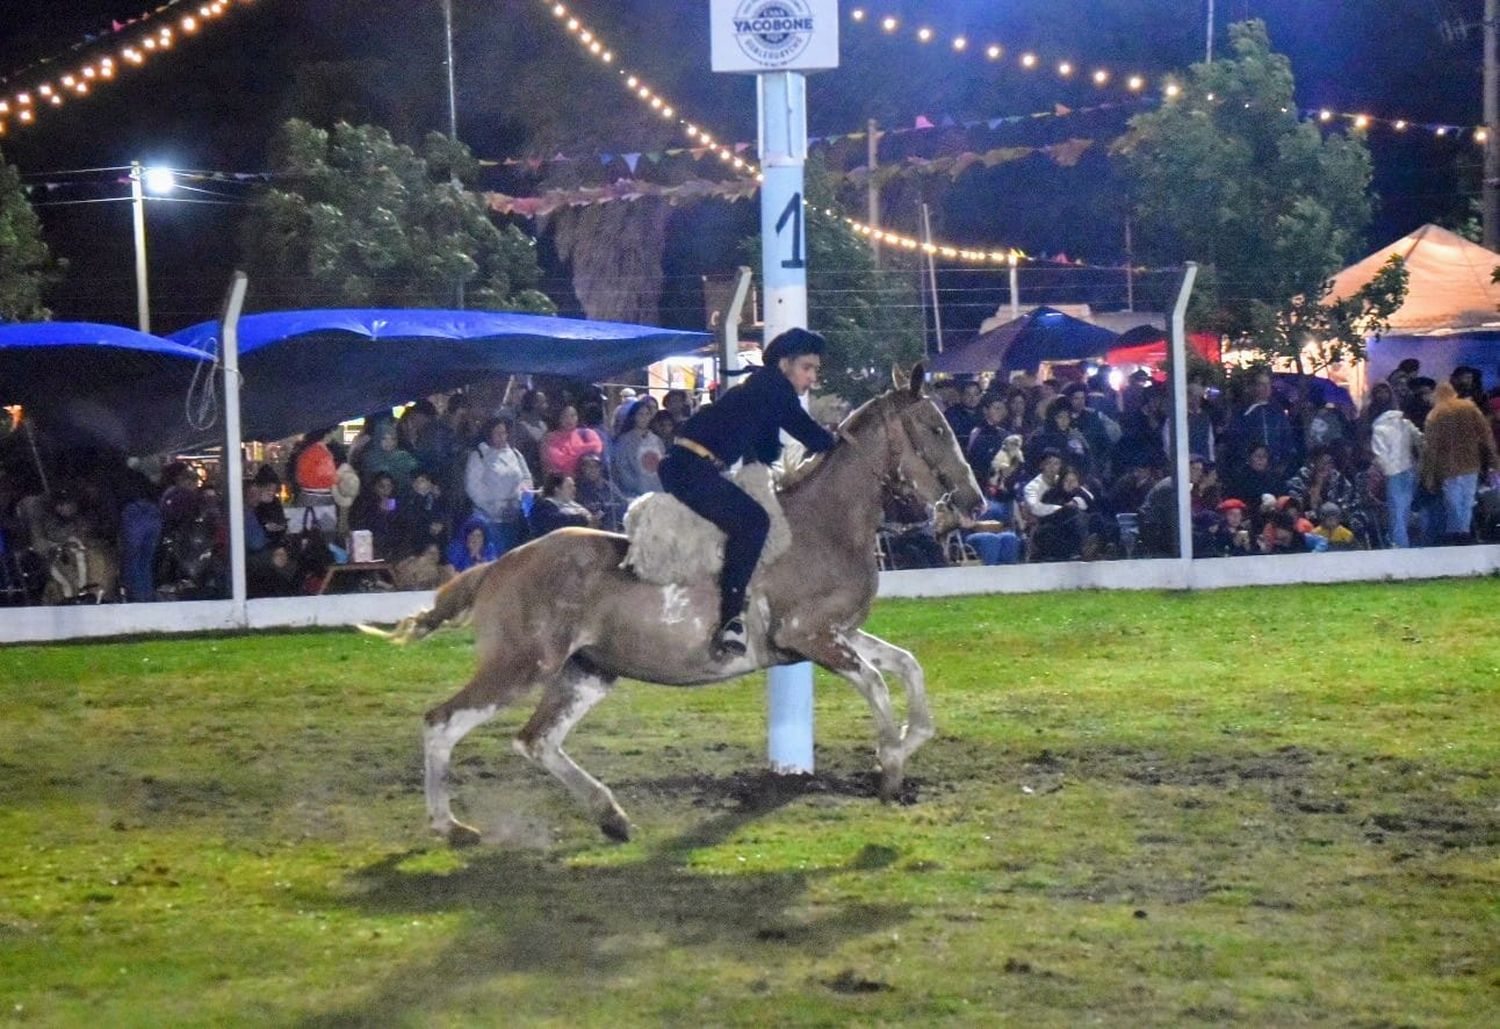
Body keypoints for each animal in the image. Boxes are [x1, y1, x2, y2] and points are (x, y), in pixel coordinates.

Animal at [372, 364, 984, 846]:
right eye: (935, 427)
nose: (975, 502)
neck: (824, 526)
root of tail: (498, 566)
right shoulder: (810, 636)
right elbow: (878, 684)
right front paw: (890, 766)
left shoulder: (838, 633)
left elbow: (907, 666)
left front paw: (910, 740)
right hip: (520, 666)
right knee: (442, 723)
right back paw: (450, 826)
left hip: (586, 673)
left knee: (536, 740)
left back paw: (610, 816)